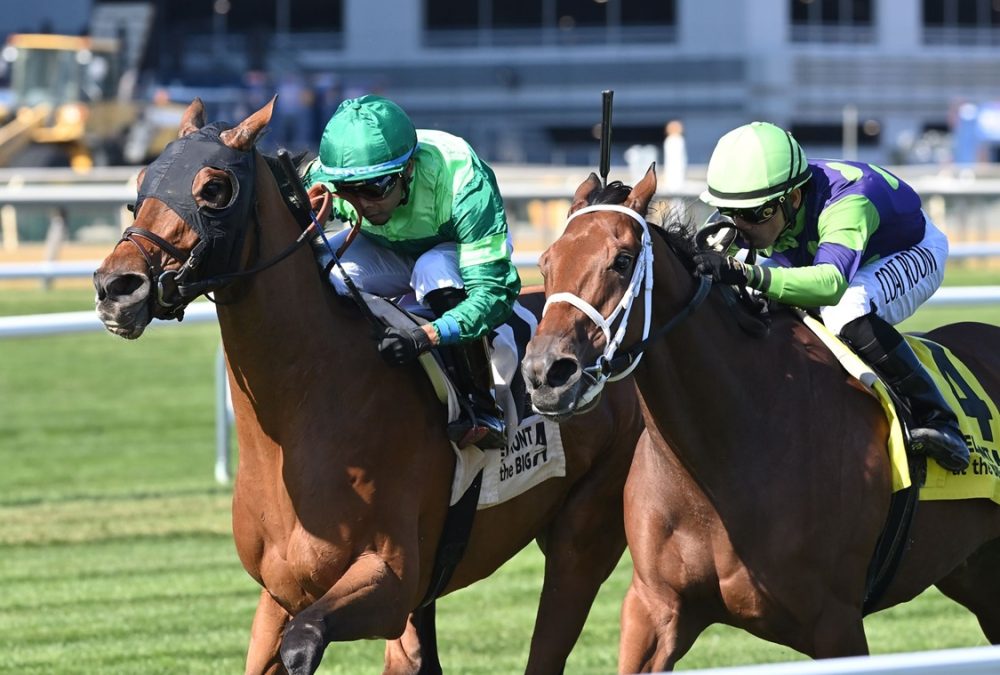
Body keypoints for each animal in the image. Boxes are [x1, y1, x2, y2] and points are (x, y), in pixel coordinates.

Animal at [92, 99, 640, 675]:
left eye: (214, 189)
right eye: (141, 182)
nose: (116, 287)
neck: (305, 412)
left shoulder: (389, 581)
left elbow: (304, 641)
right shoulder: (279, 594)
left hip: (582, 540)